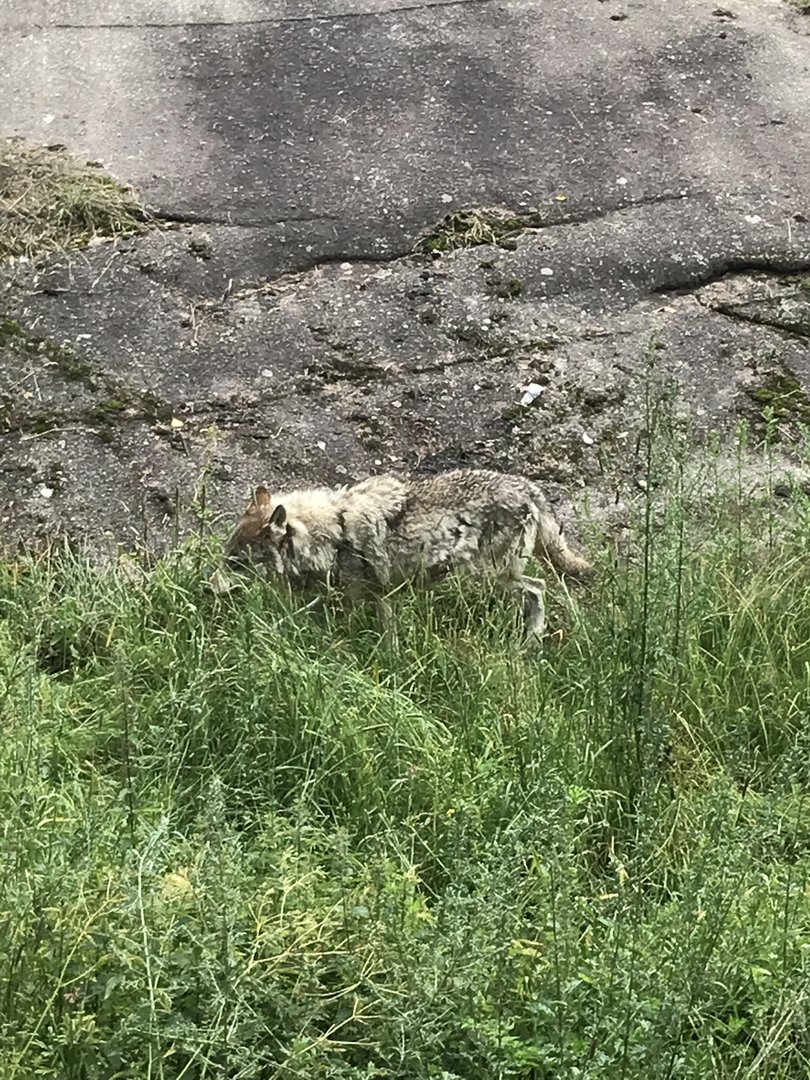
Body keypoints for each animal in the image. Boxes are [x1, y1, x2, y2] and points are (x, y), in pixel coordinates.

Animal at [211, 469, 592, 645]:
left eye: (236, 563)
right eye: (226, 555)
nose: (206, 588)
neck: (331, 535)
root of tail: (529, 487)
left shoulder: (379, 598)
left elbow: (386, 643)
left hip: (491, 574)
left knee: (539, 587)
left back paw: (531, 640)